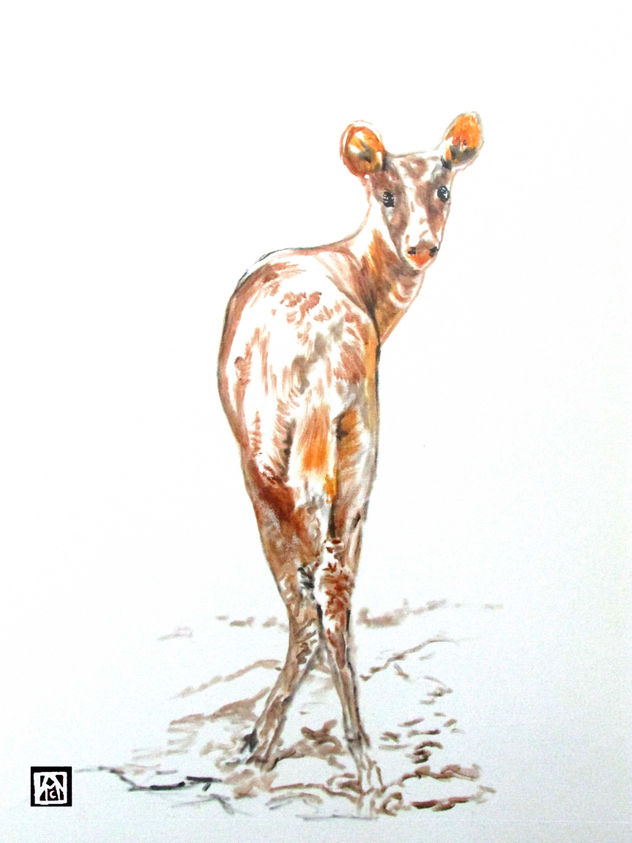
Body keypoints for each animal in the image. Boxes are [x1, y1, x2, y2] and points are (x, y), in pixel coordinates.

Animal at [217, 114, 483, 796]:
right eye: (387, 194)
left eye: (444, 188)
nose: (421, 246)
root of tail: (321, 355)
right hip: (360, 442)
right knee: (330, 591)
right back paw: (359, 760)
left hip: (267, 460)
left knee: (308, 596)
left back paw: (276, 746)